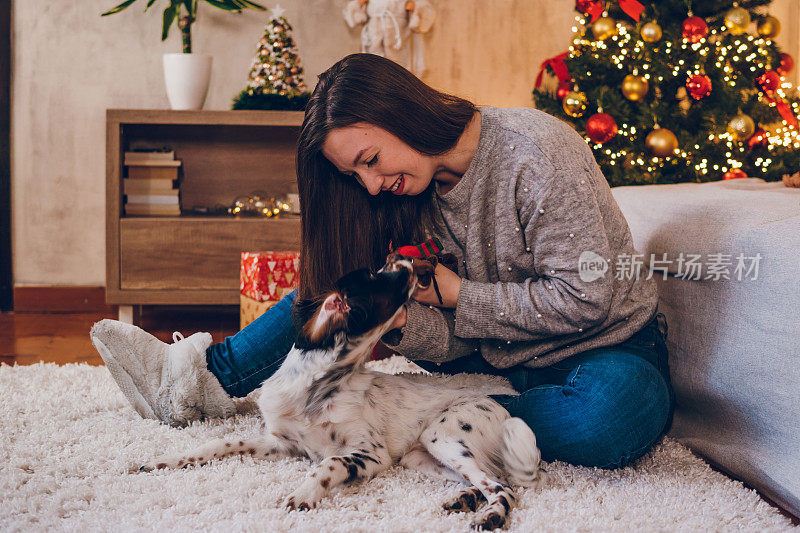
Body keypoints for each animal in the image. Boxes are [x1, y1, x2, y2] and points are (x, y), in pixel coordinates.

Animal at [141, 254, 548, 528]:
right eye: (374, 275)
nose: (405, 258)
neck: (316, 391)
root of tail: (502, 407)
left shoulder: (371, 454)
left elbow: (330, 463)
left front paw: (304, 494)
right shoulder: (282, 442)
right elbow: (222, 442)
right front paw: (166, 461)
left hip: (442, 436)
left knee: (504, 487)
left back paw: (490, 516)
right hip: (419, 457)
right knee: (483, 481)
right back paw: (463, 499)